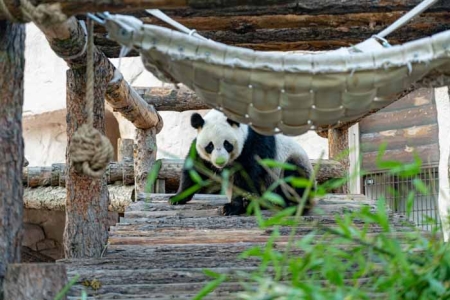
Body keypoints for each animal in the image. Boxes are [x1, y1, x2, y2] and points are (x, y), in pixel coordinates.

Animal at [170, 109, 316, 216]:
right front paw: (177, 197)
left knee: (294, 177)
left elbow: (247, 176)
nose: (220, 161)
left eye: (227, 144)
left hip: (292, 163)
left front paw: (231, 207)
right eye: (210, 146)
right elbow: (195, 169)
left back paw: (290, 205)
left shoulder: (253, 145)